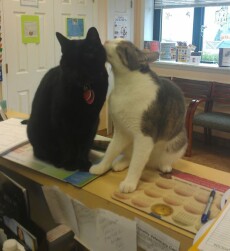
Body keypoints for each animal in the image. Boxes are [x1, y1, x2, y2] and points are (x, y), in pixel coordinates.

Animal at [27, 27, 108, 172]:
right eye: (67, 63)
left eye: (84, 60)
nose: (73, 73)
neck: (84, 88)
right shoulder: (61, 119)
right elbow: (67, 143)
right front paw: (70, 164)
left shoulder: (92, 119)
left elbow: (85, 142)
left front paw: (83, 162)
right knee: (41, 152)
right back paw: (57, 160)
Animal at [89, 38, 188, 192]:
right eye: (115, 39)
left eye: (121, 48)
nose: (106, 40)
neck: (124, 85)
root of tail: (151, 162)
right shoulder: (121, 131)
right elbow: (111, 150)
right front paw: (101, 167)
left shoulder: (144, 136)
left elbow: (137, 163)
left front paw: (129, 182)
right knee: (129, 155)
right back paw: (121, 163)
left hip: (179, 140)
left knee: (159, 158)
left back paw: (164, 165)